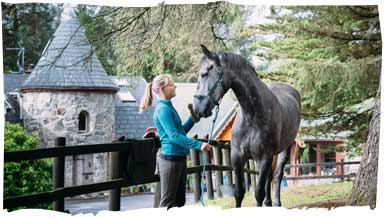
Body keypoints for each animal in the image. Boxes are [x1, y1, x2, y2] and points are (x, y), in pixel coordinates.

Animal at [192, 44, 300, 208]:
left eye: (204, 73)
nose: (198, 108)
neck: (252, 116)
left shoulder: (264, 158)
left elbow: (258, 193)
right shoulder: (237, 157)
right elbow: (238, 192)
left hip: (284, 150)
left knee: (277, 175)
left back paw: (276, 202)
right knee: (270, 176)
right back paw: (269, 203)